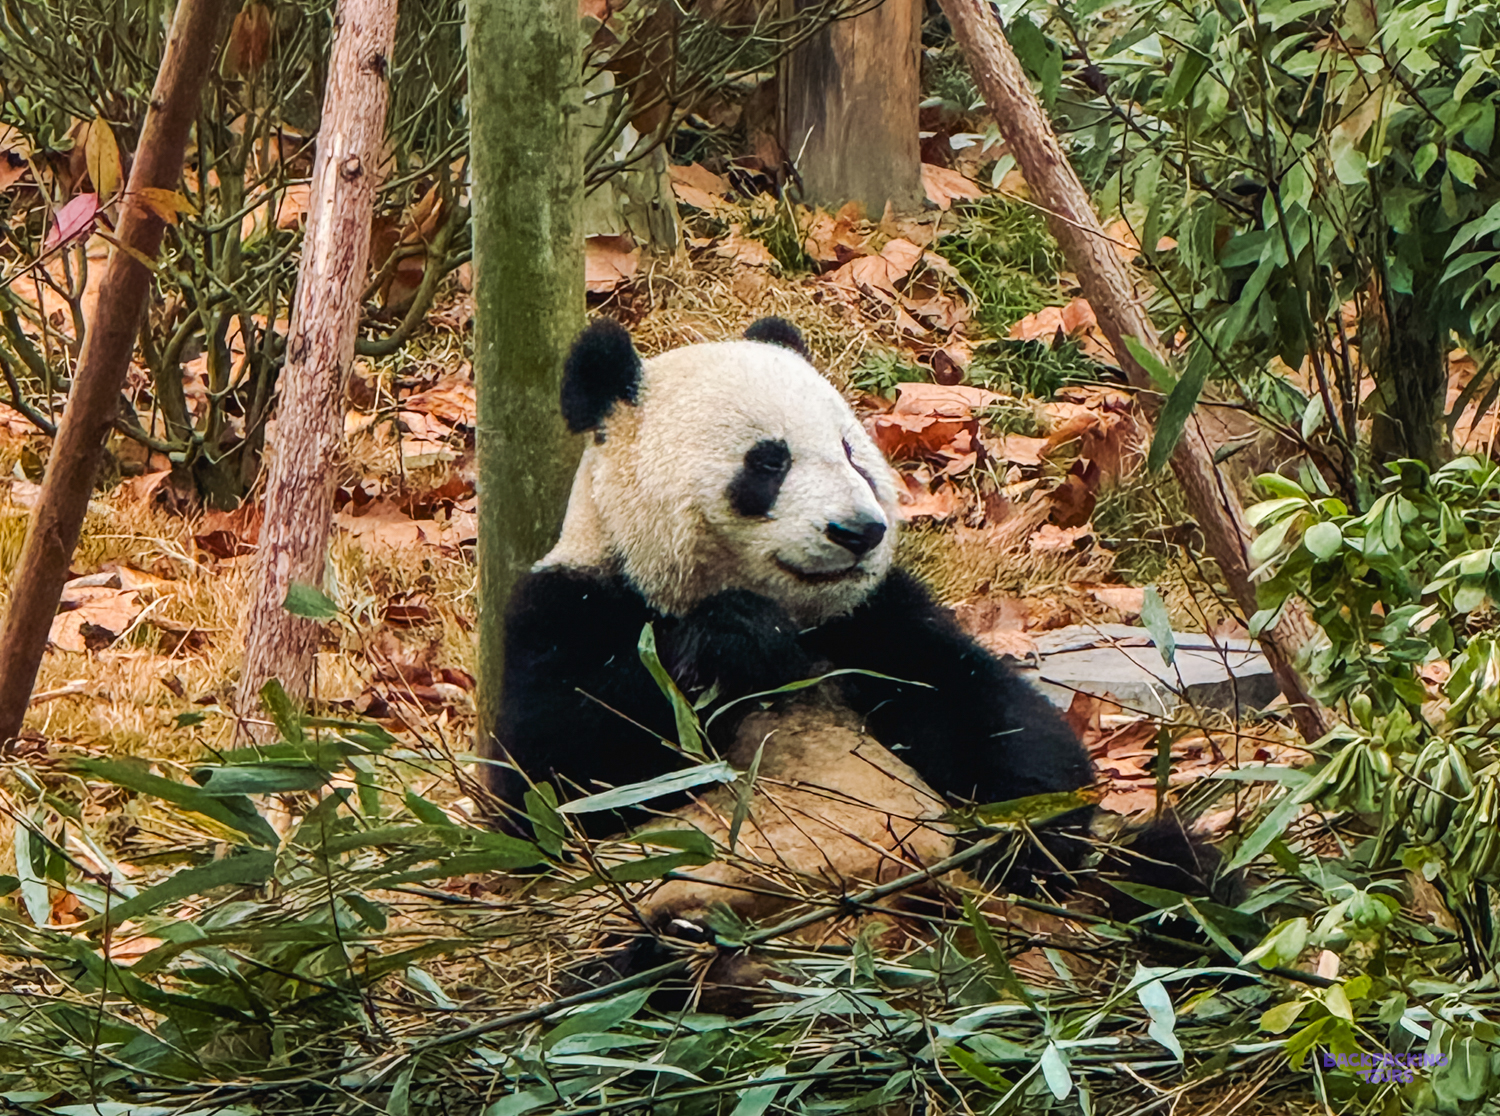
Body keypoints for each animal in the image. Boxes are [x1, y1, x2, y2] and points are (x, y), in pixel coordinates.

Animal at [490, 315, 1219, 906]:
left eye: (851, 452)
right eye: (769, 461)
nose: (859, 531)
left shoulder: (877, 619)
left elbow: (999, 718)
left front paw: (1025, 838)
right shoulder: (569, 606)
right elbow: (552, 784)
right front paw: (733, 643)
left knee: (1171, 867)